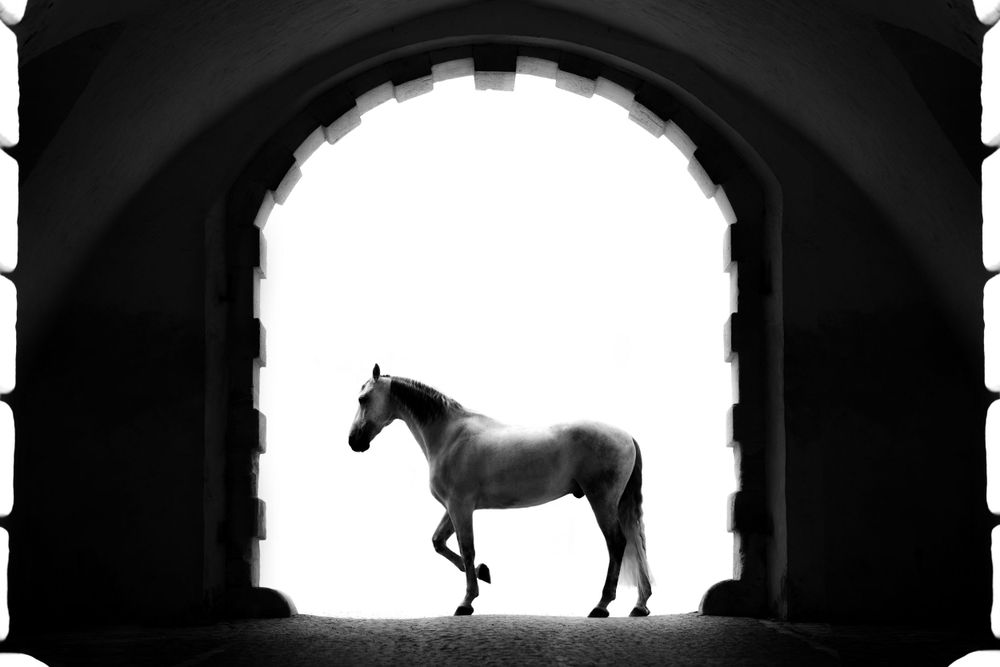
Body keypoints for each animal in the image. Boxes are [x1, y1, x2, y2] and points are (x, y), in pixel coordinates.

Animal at [347, 364, 653, 618]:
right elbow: (439, 542)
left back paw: (602, 606)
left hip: (602, 501)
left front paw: (466, 602)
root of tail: (627, 436)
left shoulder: (460, 507)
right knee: (636, 542)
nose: (354, 441)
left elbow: (467, 549)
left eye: (363, 399)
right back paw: (640, 605)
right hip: (617, 504)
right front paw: (483, 573)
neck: (449, 435)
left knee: (617, 543)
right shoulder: (452, 508)